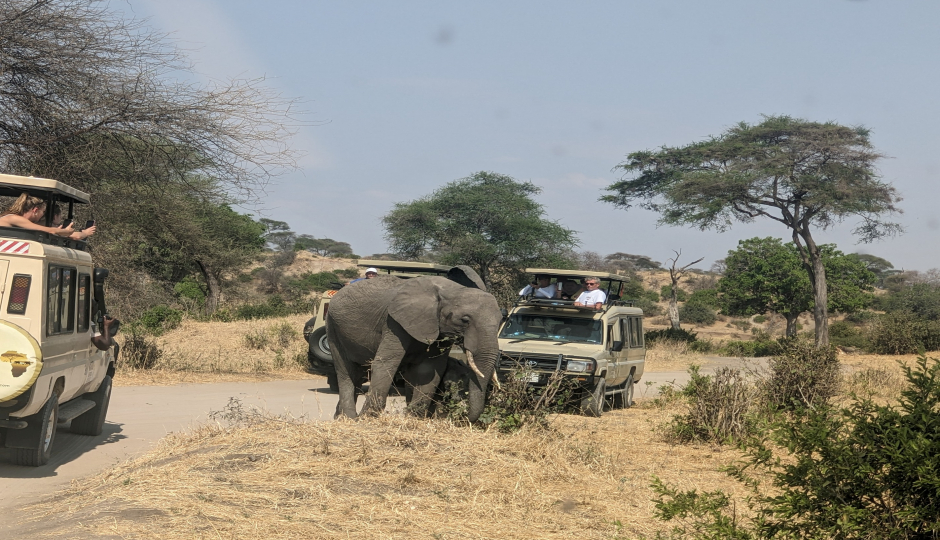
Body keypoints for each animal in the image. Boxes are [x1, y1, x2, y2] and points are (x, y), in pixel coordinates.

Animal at [324, 268, 504, 424]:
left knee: (358, 375)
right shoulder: (394, 321)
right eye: (465, 320)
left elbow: (428, 371)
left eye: (501, 320)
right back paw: (349, 418)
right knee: (346, 371)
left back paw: (339, 417)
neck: (451, 290)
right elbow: (386, 363)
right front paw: (367, 419)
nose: (461, 416)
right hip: (332, 326)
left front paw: (412, 418)